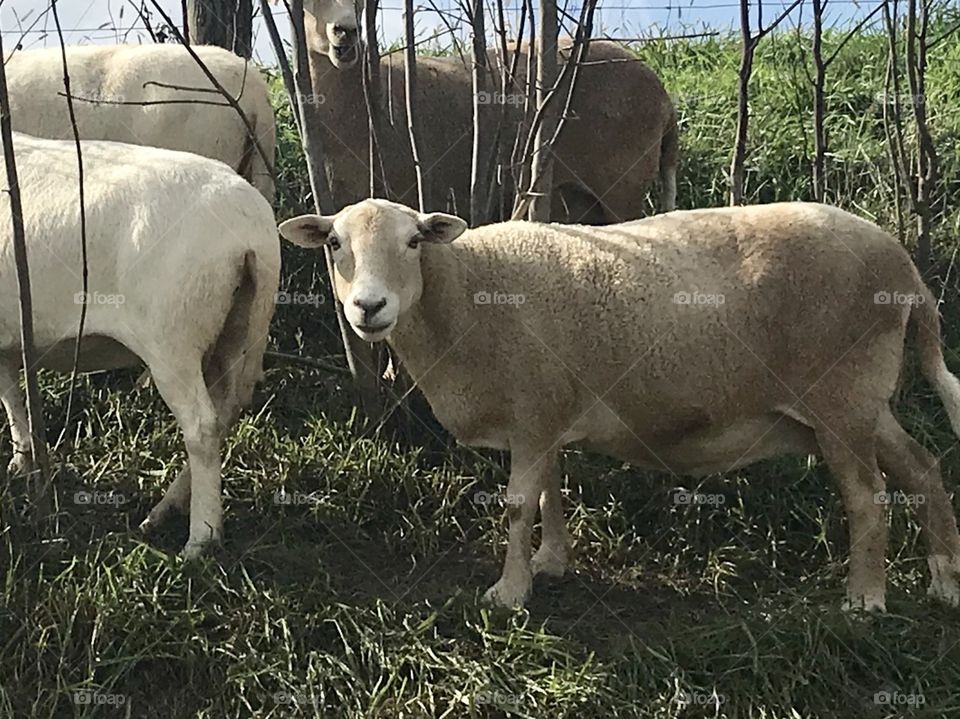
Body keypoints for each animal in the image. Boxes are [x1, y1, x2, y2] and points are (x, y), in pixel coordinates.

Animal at [2, 132, 282, 560]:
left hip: (172, 341)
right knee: (226, 412)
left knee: (201, 428)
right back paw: (165, 510)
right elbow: (12, 396)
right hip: (241, 329)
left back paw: (200, 539)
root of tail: (249, 235)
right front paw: (22, 460)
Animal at [278, 198, 960, 612]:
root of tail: (903, 264)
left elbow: (519, 505)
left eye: (415, 241)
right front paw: (551, 561)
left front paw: (510, 591)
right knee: (924, 467)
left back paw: (865, 598)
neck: (470, 292)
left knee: (868, 495)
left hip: (840, 394)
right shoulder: (547, 411)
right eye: (333, 242)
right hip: (861, 399)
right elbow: (550, 493)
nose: (368, 307)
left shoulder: (533, 407)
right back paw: (945, 579)